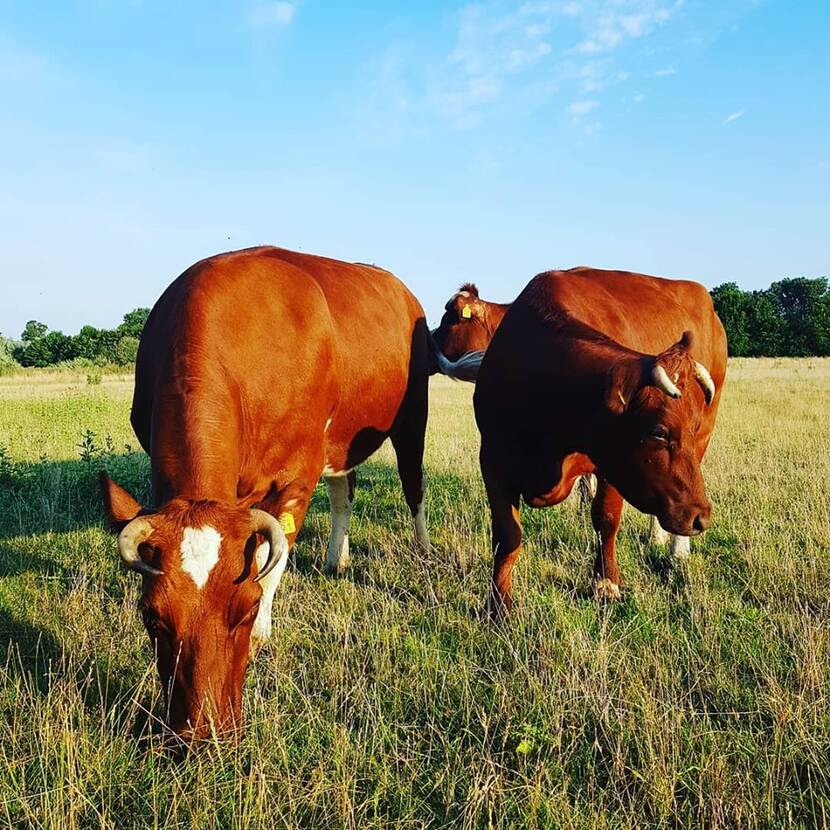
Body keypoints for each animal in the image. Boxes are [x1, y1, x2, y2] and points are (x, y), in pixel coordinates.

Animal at [99, 245, 474, 740]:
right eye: (151, 616)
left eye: (244, 609)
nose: (204, 732)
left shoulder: (298, 474)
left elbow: (271, 558)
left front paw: (263, 632)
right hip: (340, 439)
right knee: (343, 492)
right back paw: (337, 558)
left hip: (412, 417)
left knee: (414, 486)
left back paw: (424, 550)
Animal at [474, 266, 728, 616]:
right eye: (658, 432)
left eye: (690, 426)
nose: (701, 516)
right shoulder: (492, 460)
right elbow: (507, 535)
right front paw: (499, 605)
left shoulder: (610, 465)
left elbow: (606, 519)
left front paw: (606, 583)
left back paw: (677, 548)